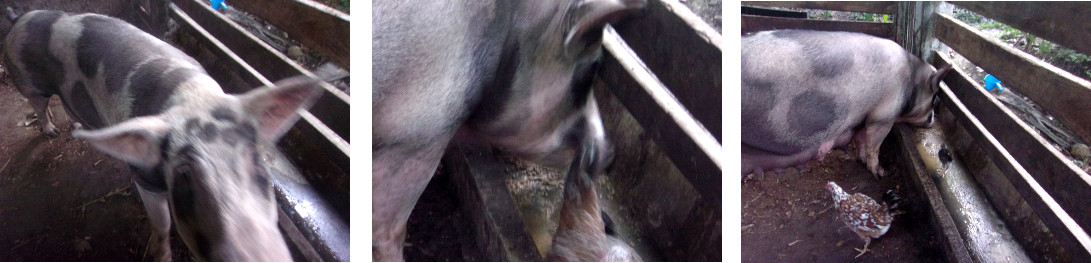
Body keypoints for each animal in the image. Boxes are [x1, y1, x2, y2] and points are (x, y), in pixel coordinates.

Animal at [3, 8, 322, 260]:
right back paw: (52, 132)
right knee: (40, 105)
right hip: (27, 82)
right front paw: (161, 256)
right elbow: (162, 223)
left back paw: (79, 129)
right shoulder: (143, 175)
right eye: (185, 175)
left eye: (257, 163)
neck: (192, 99)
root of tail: (20, 17)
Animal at [741, 30, 946, 178]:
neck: (911, 80)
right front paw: (880, 173)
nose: (933, 121)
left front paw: (861, 160)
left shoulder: (864, 118)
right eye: (935, 98)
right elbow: (874, 146)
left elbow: (861, 140)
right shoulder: (882, 116)